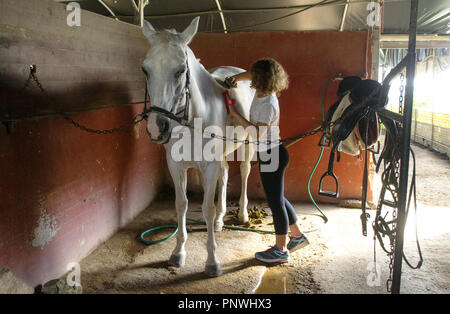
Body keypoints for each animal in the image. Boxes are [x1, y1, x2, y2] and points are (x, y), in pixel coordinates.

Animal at [142, 17, 255, 278]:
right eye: (145, 69)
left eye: (180, 70)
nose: (156, 127)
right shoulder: (176, 166)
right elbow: (181, 205)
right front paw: (178, 253)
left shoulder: (209, 167)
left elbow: (206, 208)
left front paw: (212, 262)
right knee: (226, 175)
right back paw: (221, 221)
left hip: (248, 144)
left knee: (244, 172)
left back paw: (243, 214)